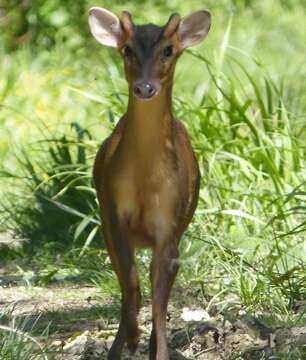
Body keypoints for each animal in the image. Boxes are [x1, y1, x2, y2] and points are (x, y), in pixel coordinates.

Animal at [88, 6, 210, 360]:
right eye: (127, 49)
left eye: (169, 50)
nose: (144, 88)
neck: (147, 180)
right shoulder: (112, 213)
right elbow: (131, 284)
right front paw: (126, 341)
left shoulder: (168, 222)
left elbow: (159, 298)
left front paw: (159, 351)